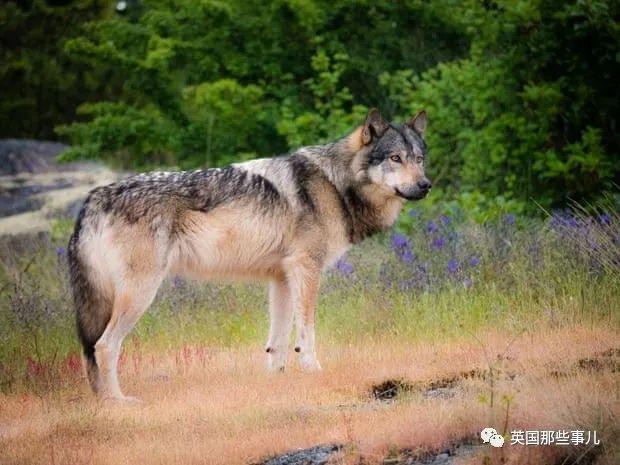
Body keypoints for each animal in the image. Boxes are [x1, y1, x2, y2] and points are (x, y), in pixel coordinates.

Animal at [68, 109, 432, 398]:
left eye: (419, 159)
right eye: (395, 158)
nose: (426, 185)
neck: (335, 184)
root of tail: (94, 198)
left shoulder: (282, 278)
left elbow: (278, 341)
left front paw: (278, 382)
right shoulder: (306, 269)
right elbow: (307, 331)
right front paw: (313, 371)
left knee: (93, 350)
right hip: (140, 294)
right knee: (104, 346)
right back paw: (118, 403)